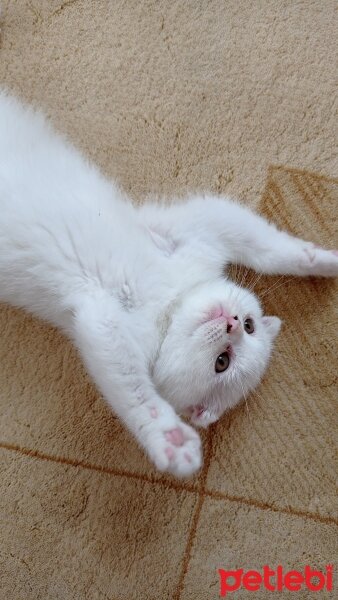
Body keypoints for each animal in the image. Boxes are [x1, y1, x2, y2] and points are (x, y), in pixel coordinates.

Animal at [0, 92, 338, 478]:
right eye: (251, 326)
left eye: (223, 361)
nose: (233, 323)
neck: (172, 300)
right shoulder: (199, 225)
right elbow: (268, 248)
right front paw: (321, 259)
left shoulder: (102, 321)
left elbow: (134, 392)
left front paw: (169, 439)